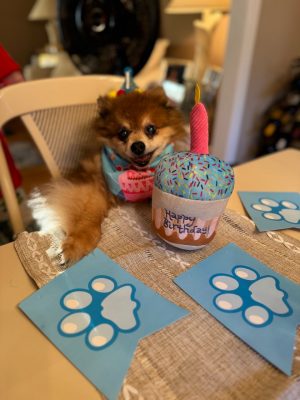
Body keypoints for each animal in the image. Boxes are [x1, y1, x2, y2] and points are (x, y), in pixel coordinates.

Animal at [29, 86, 185, 264]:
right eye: (123, 133)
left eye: (151, 129)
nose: (138, 146)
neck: (135, 172)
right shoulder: (93, 186)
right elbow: (89, 215)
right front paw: (76, 244)